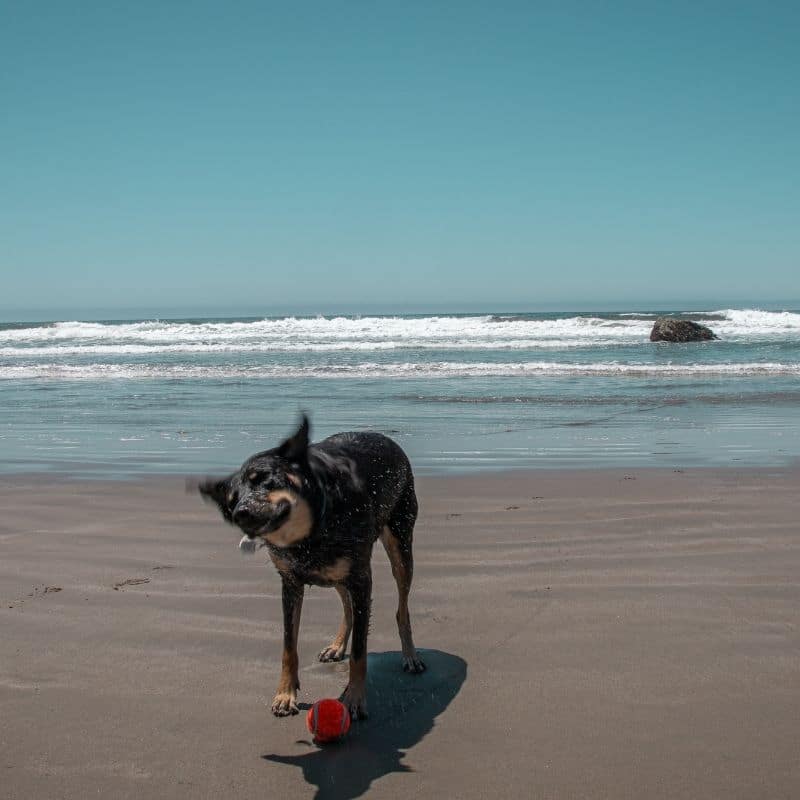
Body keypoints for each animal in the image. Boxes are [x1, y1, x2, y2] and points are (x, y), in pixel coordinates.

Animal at [196, 416, 424, 720]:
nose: (240, 513)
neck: (310, 530)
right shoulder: (290, 583)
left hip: (399, 543)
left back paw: (410, 655)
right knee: (347, 605)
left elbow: (360, 651)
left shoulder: (361, 578)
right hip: (338, 570)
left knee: (401, 605)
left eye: (264, 479)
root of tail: (385, 437)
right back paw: (337, 646)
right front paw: (285, 694)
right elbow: (288, 645)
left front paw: (355, 698)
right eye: (232, 499)